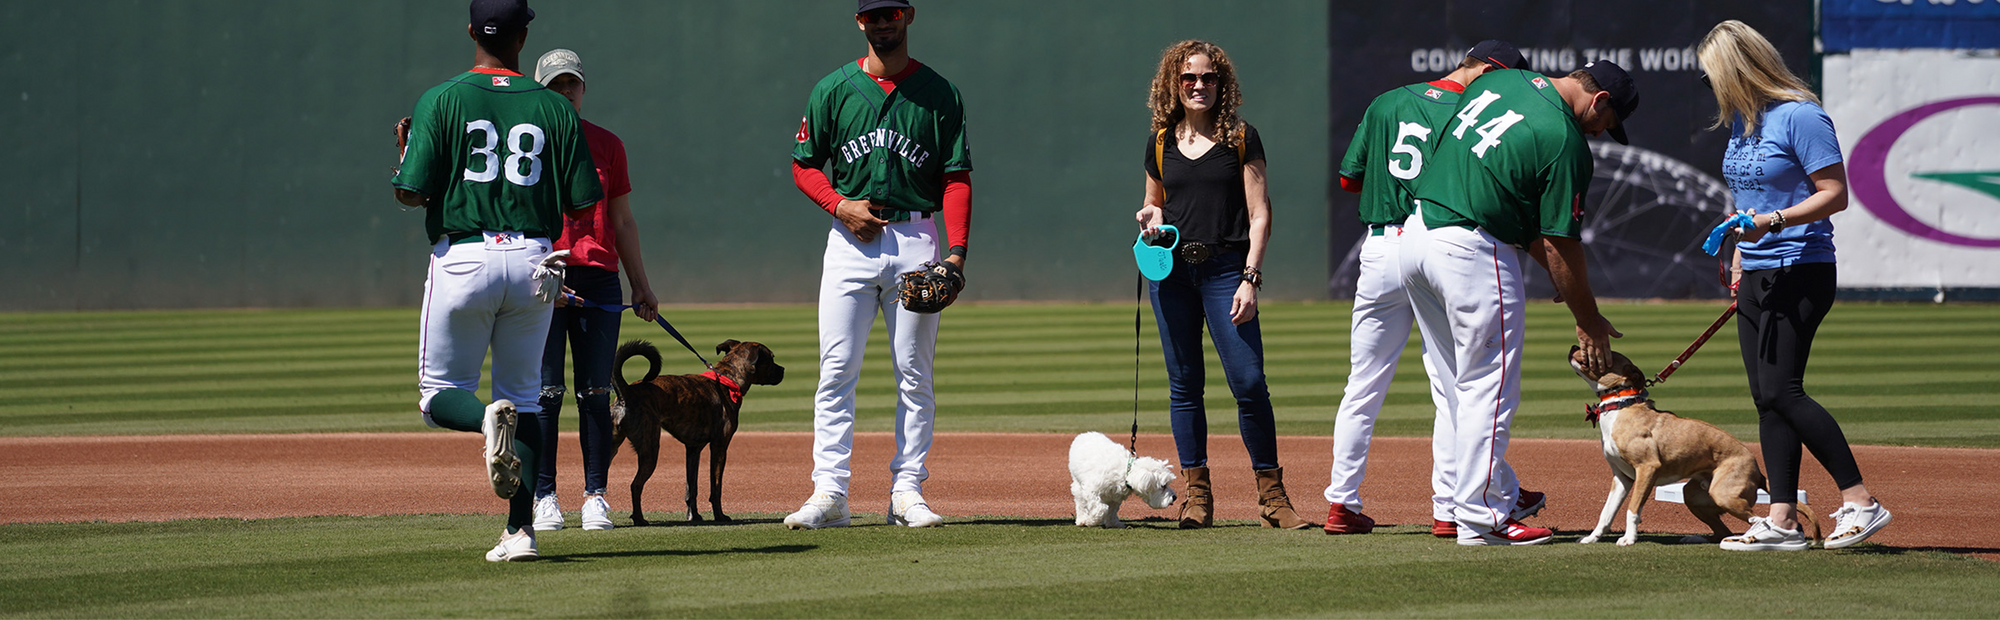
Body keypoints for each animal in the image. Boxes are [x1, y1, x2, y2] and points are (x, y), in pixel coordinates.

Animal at [612, 340, 784, 524]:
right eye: (771, 358)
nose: (783, 369)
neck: (728, 381)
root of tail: (627, 392)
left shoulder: (693, 449)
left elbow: (691, 488)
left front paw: (693, 515)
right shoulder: (719, 447)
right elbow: (716, 487)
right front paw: (720, 516)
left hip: (612, 447)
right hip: (649, 448)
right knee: (635, 485)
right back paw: (639, 518)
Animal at [1560, 346, 1768, 544]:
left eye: (1604, 351)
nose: (1573, 346)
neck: (1620, 406)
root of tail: (1757, 469)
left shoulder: (1647, 468)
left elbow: (1632, 509)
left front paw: (1629, 538)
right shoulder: (1621, 477)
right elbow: (1606, 513)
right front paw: (1591, 538)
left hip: (1724, 494)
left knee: (1759, 519)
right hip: (1694, 495)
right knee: (1723, 530)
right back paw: (1695, 539)